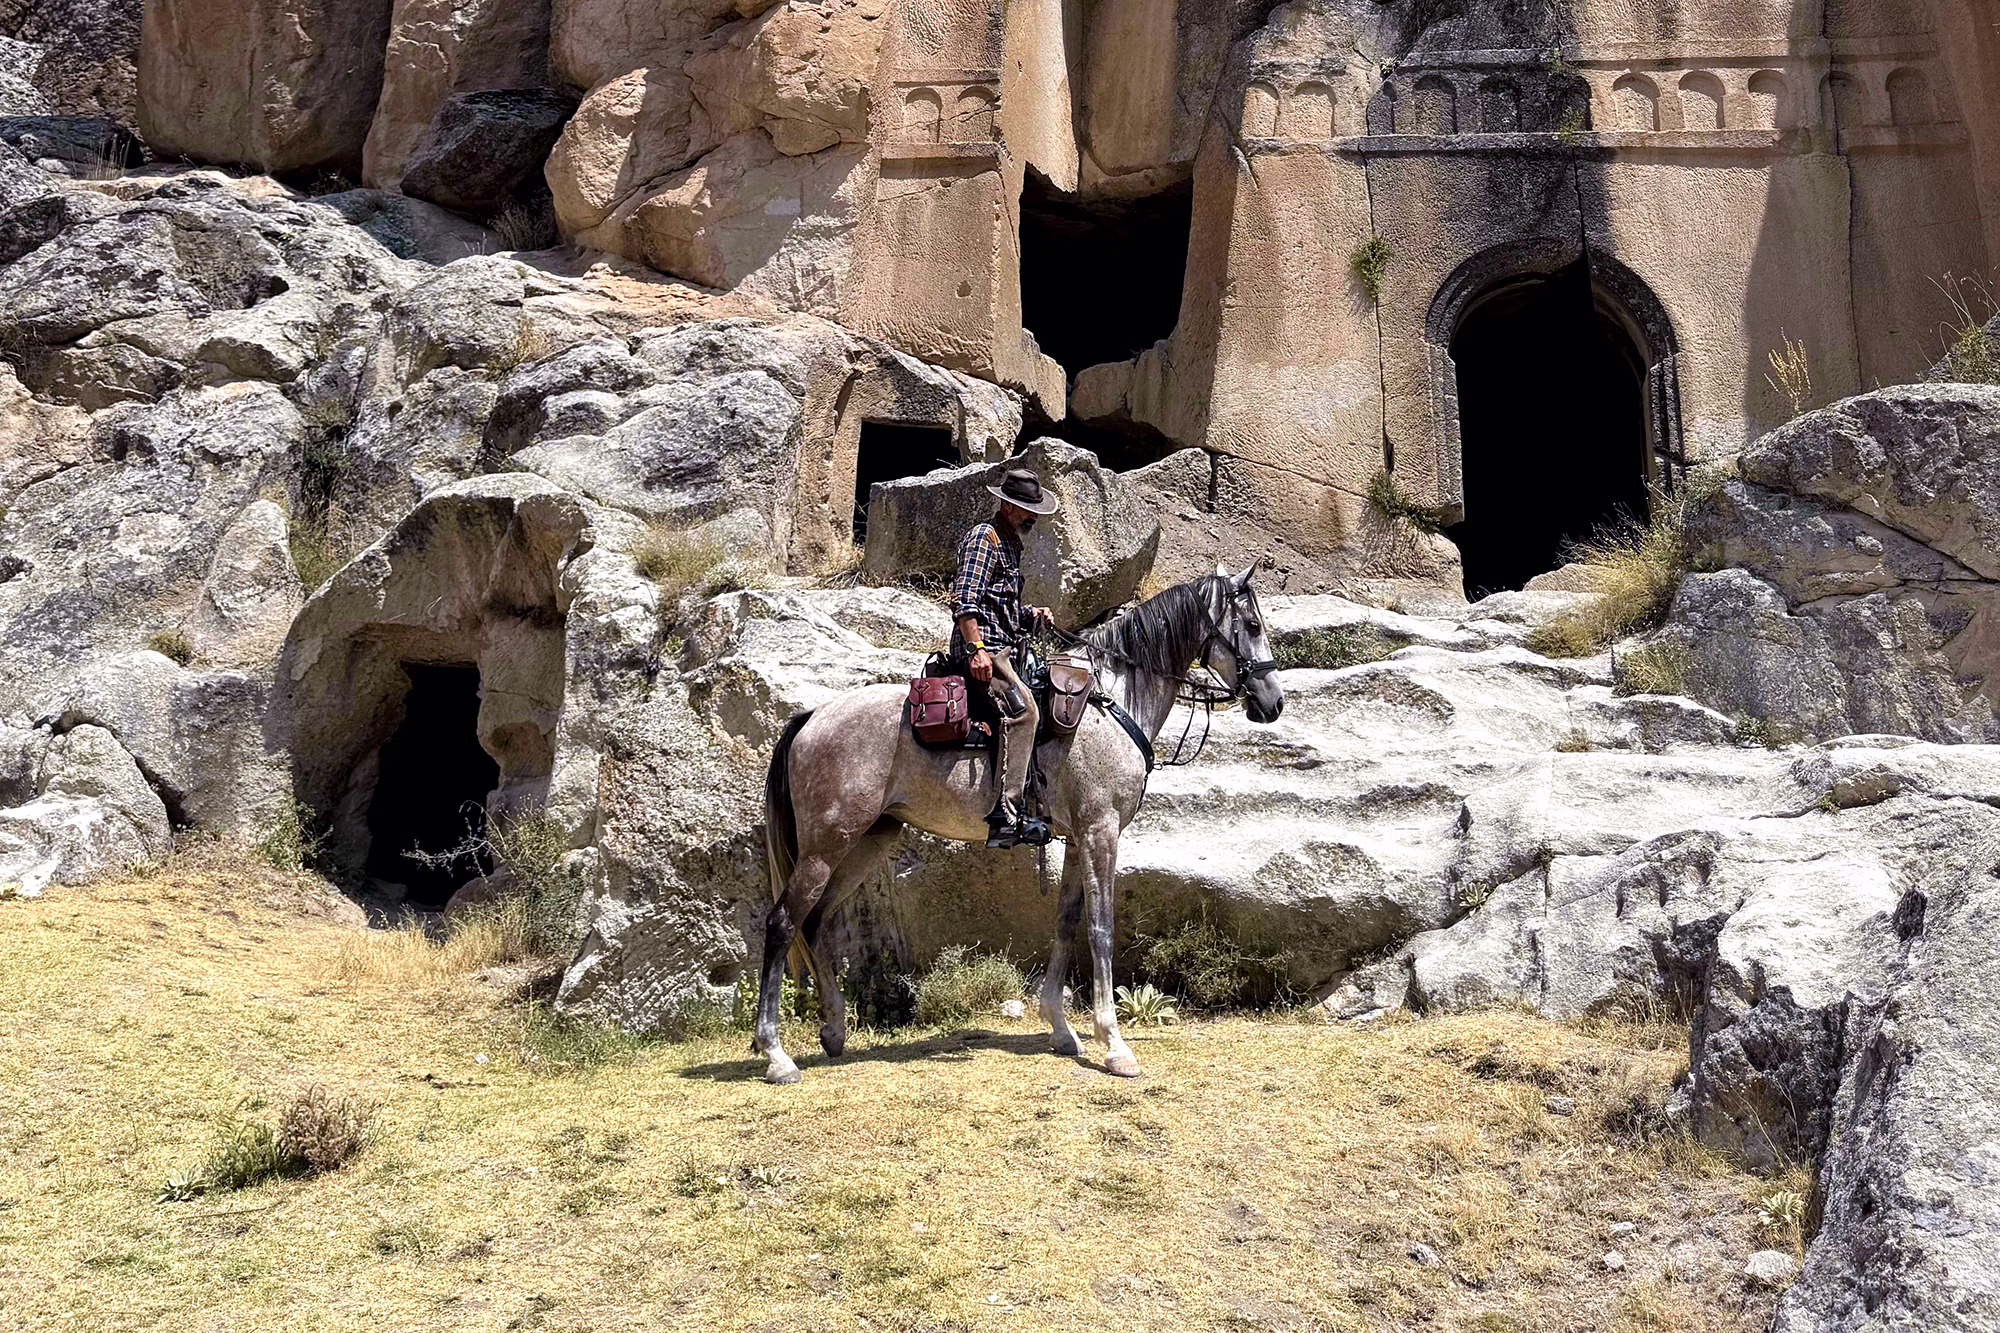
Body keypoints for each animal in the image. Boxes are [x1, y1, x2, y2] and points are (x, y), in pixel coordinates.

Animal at [755, 564, 1285, 1083]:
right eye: (1252, 625)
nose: (1273, 702)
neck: (1113, 704)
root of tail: (811, 716)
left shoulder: (1075, 839)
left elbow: (1066, 924)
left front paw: (1061, 1028)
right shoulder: (1101, 831)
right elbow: (1101, 928)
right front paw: (1114, 1044)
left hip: (866, 840)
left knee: (815, 920)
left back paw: (834, 1029)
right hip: (829, 843)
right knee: (782, 922)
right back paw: (776, 1054)